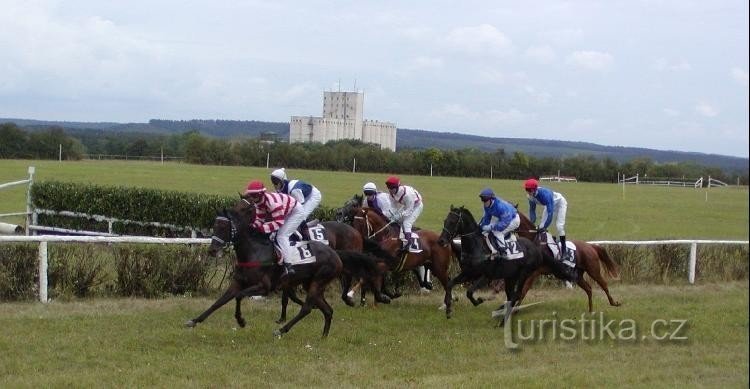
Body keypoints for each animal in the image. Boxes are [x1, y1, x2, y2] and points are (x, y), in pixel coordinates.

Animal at [185, 197, 344, 336]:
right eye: (214, 226)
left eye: (224, 226)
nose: (212, 250)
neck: (254, 251)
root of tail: (335, 255)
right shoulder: (237, 282)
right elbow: (218, 302)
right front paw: (194, 320)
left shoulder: (264, 287)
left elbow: (239, 295)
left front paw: (241, 320)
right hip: (310, 284)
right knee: (328, 310)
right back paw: (323, 336)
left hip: (318, 281)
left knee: (306, 308)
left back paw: (281, 330)